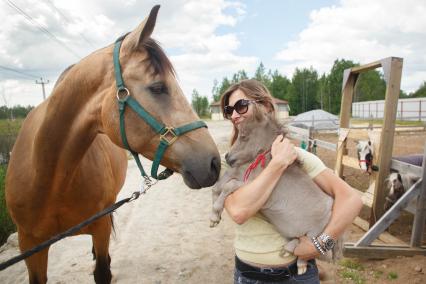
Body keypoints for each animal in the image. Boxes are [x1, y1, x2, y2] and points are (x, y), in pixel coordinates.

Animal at [5, 5, 220, 284]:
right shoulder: (30, 245)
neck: (48, 176)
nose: (214, 163)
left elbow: (102, 270)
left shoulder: (100, 227)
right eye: (158, 87)